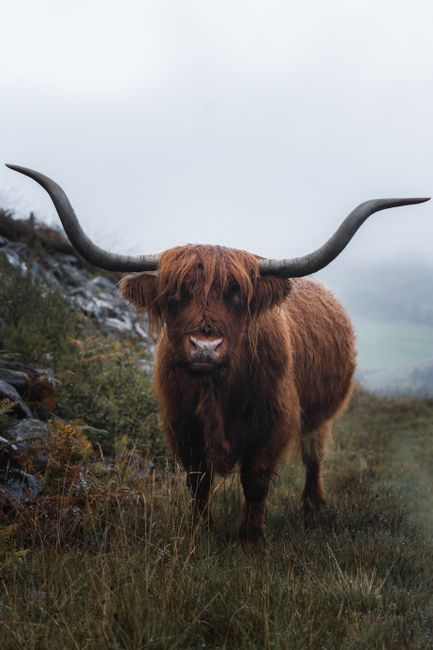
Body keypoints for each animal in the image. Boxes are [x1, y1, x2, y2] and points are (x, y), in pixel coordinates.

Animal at [5, 164, 429, 543]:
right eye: (176, 294)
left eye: (236, 294)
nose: (205, 347)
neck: (217, 389)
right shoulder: (182, 424)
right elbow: (199, 481)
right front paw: (202, 531)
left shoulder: (273, 421)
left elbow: (256, 480)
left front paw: (250, 538)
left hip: (322, 414)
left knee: (314, 456)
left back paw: (313, 506)